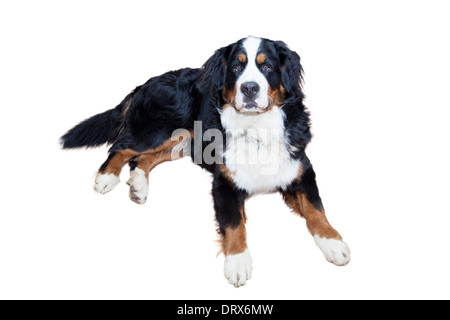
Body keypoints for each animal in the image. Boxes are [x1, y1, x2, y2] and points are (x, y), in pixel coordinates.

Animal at [60, 36, 352, 286]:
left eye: (267, 66)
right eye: (237, 67)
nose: (249, 88)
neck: (256, 129)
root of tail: (145, 84)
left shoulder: (301, 170)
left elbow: (316, 209)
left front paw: (333, 242)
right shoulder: (224, 183)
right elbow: (234, 224)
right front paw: (238, 262)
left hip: (183, 141)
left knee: (142, 160)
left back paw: (138, 186)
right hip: (160, 129)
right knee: (121, 147)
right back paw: (106, 177)